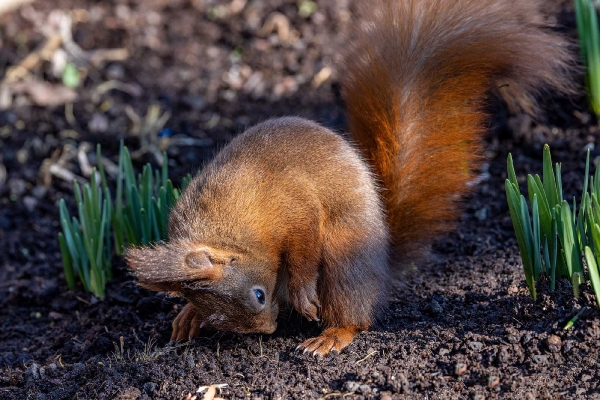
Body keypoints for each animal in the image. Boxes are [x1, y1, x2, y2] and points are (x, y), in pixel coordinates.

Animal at [125, 0, 572, 356]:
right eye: (220, 316)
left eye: (258, 295)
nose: (268, 329)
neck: (226, 230)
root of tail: (382, 257)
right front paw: (189, 310)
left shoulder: (290, 204)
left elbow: (303, 243)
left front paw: (303, 293)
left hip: (343, 257)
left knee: (355, 314)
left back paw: (331, 335)